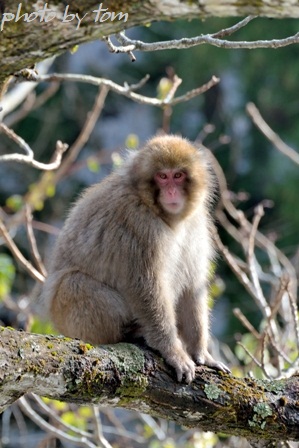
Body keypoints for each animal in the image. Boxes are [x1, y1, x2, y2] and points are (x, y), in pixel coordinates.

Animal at [42, 134, 230, 382]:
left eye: (178, 175)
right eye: (162, 176)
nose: (171, 192)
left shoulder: (196, 223)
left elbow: (192, 286)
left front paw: (201, 353)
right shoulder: (138, 221)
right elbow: (144, 285)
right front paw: (173, 352)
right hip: (69, 317)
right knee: (72, 283)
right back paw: (132, 333)